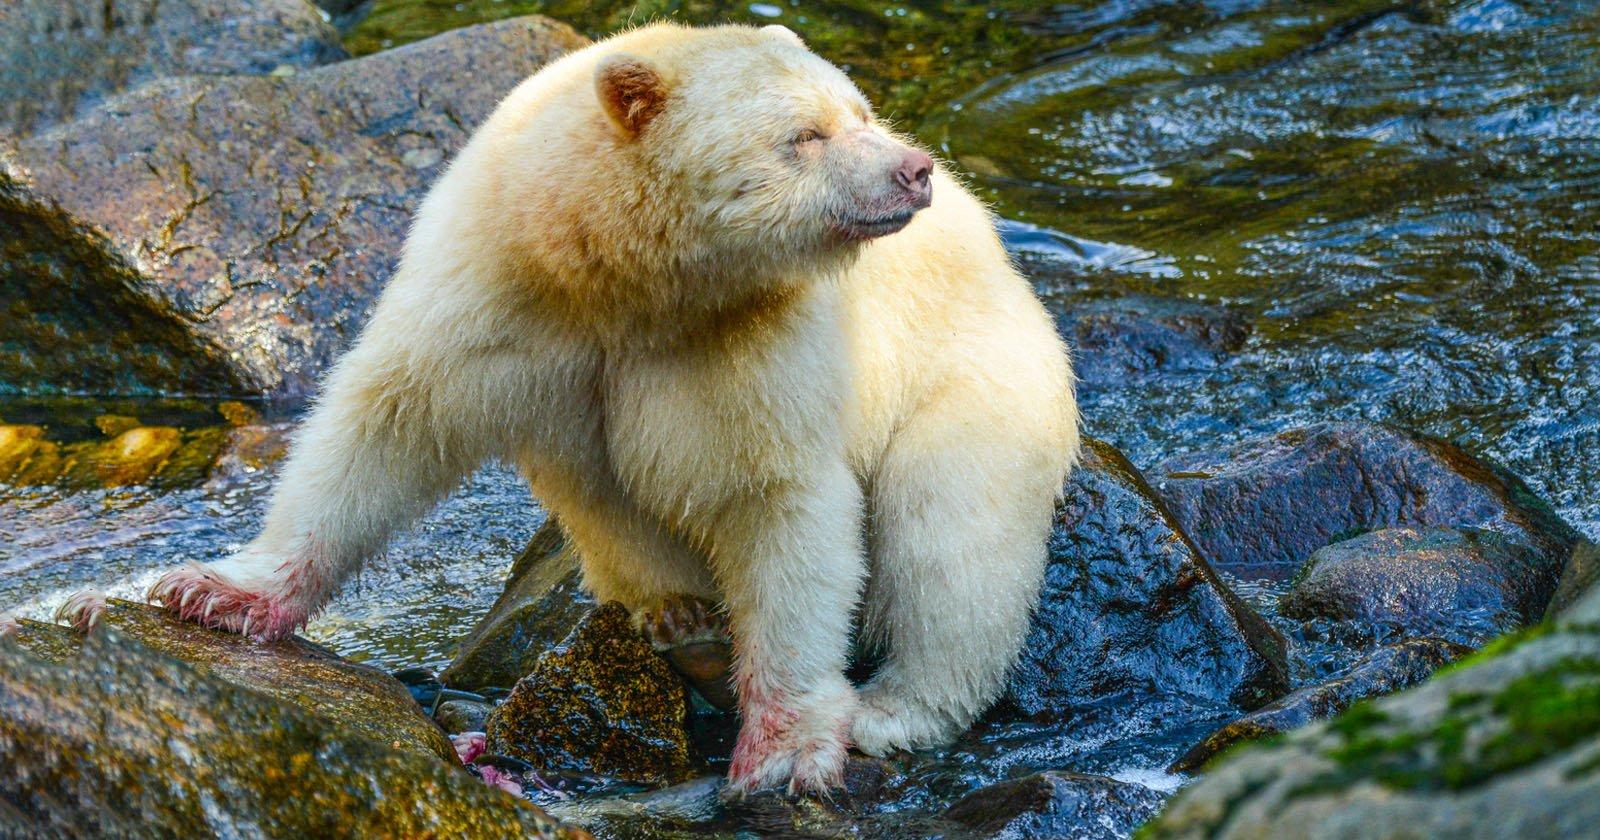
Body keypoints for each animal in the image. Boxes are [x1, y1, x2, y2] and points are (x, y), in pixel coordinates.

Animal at [77, 23, 1080, 793]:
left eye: (859, 113)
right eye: (805, 135)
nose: (914, 169)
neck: (620, 274)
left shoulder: (754, 342)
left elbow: (780, 500)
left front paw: (786, 749)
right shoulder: (495, 297)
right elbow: (387, 424)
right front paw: (215, 592)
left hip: (977, 378)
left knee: (952, 539)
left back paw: (891, 708)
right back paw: (677, 617)